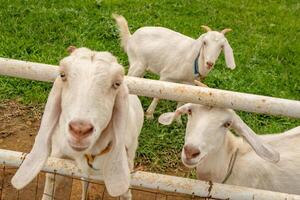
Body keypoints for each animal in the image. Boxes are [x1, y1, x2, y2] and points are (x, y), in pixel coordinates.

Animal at [10, 47, 144, 200]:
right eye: (62, 75)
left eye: (117, 83)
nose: (80, 130)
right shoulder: (58, 153)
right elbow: (51, 176)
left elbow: (125, 192)